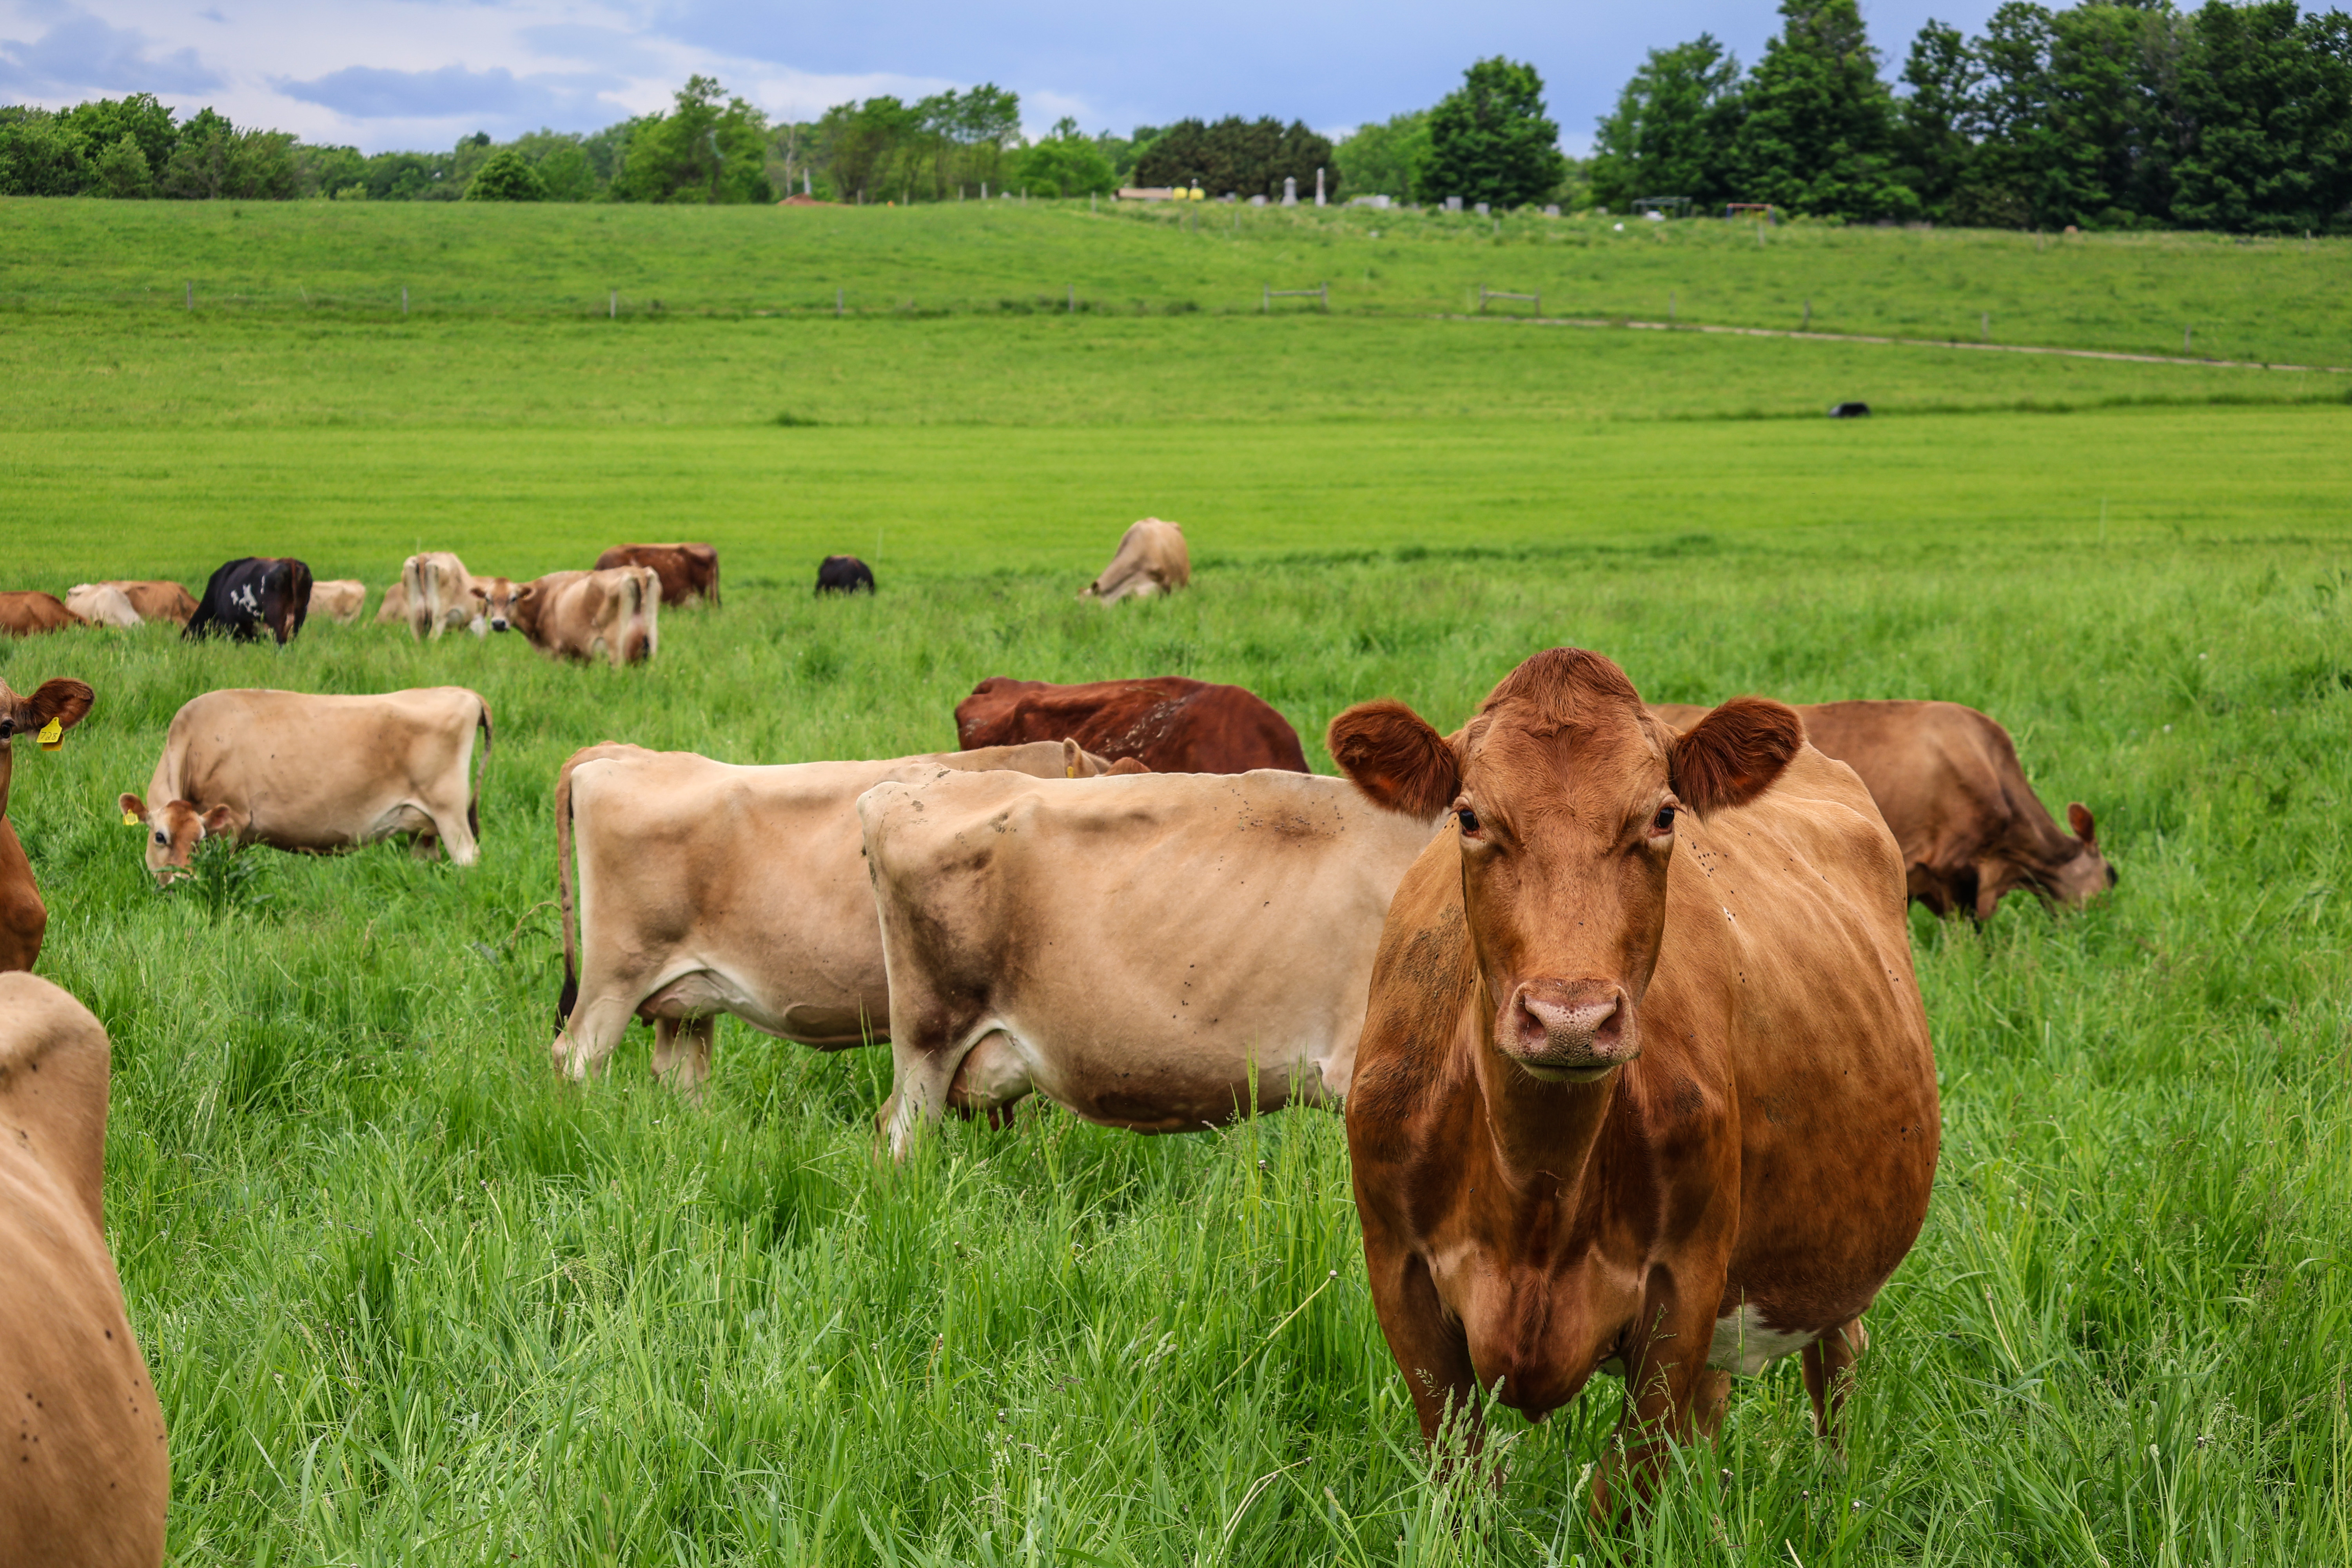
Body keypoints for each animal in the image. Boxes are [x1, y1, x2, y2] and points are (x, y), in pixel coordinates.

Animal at [119, 686, 492, 881]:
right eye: (160, 837)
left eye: (199, 839)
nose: (180, 882)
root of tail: (463, 692)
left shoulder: (233, 820)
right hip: (421, 827)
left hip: (450, 814)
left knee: (469, 858)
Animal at [509, 568, 659, 667]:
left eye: (513, 598)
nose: (502, 624)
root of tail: (636, 571)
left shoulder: (557, 651)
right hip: (650, 641)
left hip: (615, 646)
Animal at [1324, 649, 1938, 1514]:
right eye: (1470, 818)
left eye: (1663, 817)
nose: (1571, 1017)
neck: (1538, 1187)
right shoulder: (1400, 1277)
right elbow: (1463, 1479)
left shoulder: (1684, 1288)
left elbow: (1622, 1489)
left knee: (1838, 1360)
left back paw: (1832, 1492)